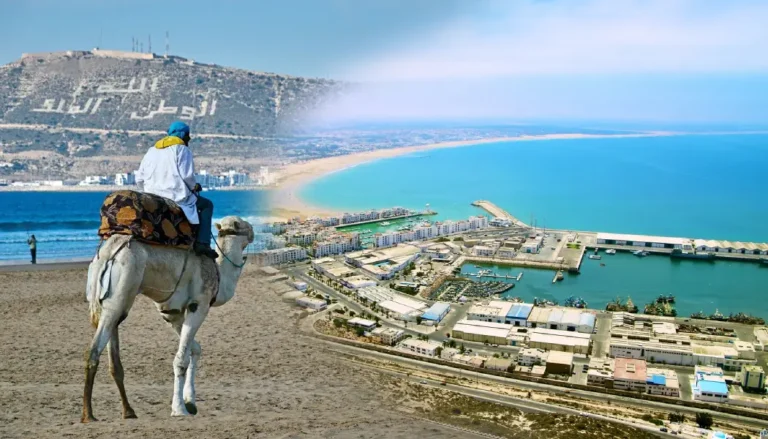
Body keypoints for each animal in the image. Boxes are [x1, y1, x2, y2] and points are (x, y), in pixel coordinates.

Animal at [82, 217, 254, 422]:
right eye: (242, 225)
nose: (252, 231)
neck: (219, 274)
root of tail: (108, 252)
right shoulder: (199, 304)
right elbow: (181, 360)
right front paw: (179, 408)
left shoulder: (172, 313)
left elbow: (195, 349)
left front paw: (190, 402)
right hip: (121, 292)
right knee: (95, 348)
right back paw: (89, 415)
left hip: (106, 298)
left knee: (110, 355)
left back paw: (126, 411)